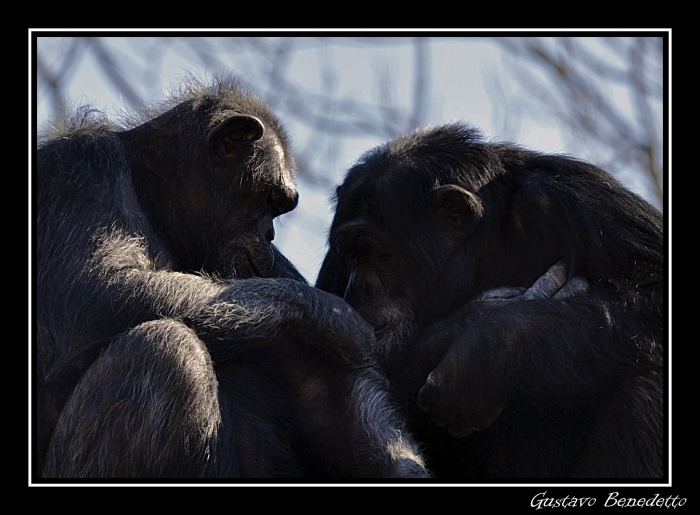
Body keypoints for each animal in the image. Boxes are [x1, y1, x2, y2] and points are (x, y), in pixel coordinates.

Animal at [35, 78, 430, 482]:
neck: (154, 196)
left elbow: (329, 387)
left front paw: (404, 465)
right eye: (270, 199)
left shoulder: (267, 268)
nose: (269, 234)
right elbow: (94, 294)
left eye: (280, 207)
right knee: (167, 350)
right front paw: (336, 316)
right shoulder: (80, 168)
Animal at [318, 123, 668, 478]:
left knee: (645, 385)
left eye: (381, 254)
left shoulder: (582, 200)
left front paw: (482, 355)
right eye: (351, 253)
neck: (483, 246)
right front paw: (472, 321)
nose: (359, 287)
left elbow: (654, 287)